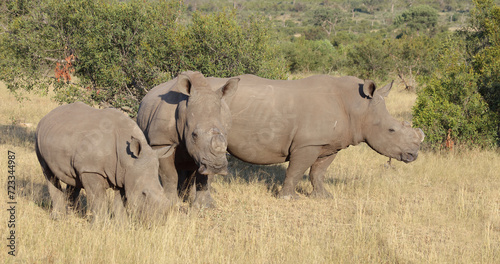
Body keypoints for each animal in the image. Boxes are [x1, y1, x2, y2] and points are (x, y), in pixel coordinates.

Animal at [36, 102, 175, 220]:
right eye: (144, 193)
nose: (159, 221)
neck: (127, 158)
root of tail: (48, 115)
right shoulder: (92, 170)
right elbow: (98, 199)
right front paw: (100, 225)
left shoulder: (124, 173)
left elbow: (121, 202)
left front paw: (121, 226)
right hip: (39, 136)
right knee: (48, 173)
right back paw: (58, 217)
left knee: (74, 177)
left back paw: (74, 215)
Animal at [205, 73, 424, 198]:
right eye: (391, 130)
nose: (413, 155)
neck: (359, 107)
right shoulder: (307, 144)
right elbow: (295, 171)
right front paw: (289, 198)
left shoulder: (329, 144)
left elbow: (318, 172)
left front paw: (323, 196)